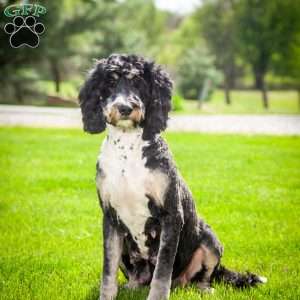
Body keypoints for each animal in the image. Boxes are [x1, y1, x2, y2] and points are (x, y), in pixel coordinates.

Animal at [78, 54, 266, 300]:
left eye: (139, 82)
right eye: (109, 83)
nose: (125, 108)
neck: (128, 152)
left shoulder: (171, 215)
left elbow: (162, 270)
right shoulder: (110, 218)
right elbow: (107, 271)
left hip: (210, 240)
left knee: (200, 276)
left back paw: (204, 288)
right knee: (137, 275)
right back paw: (133, 286)